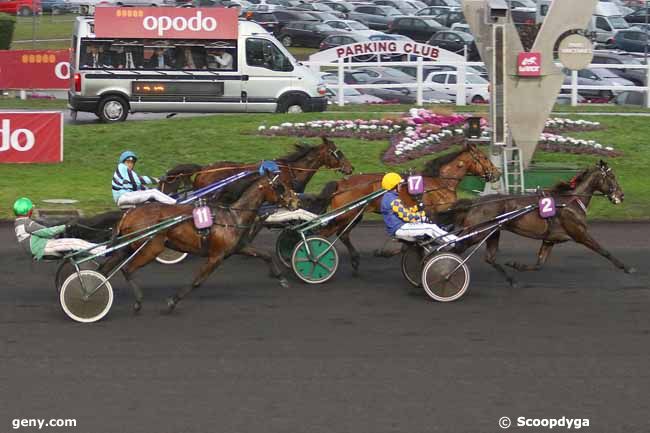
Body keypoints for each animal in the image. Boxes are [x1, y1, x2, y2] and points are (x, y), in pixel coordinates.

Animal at [106, 170, 298, 312]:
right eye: (279, 186)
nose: (296, 201)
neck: (232, 216)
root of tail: (129, 213)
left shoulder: (239, 247)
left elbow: (265, 255)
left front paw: (282, 279)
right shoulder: (216, 256)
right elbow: (198, 281)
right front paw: (173, 301)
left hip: (130, 246)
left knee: (108, 266)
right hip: (151, 248)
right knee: (127, 269)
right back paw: (137, 301)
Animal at [312, 143, 498, 270]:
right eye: (484, 158)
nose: (497, 173)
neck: (440, 182)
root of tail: (341, 183)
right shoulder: (438, 211)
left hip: (355, 215)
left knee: (342, 234)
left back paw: (354, 261)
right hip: (346, 214)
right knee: (324, 233)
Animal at [438, 159, 636, 286]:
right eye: (612, 177)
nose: (621, 196)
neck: (570, 202)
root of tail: (476, 202)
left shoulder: (549, 239)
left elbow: (539, 264)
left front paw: (516, 265)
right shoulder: (580, 233)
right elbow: (603, 251)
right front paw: (626, 267)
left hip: (493, 232)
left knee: (489, 257)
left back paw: (511, 280)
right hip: (478, 232)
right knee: (454, 249)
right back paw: (442, 274)